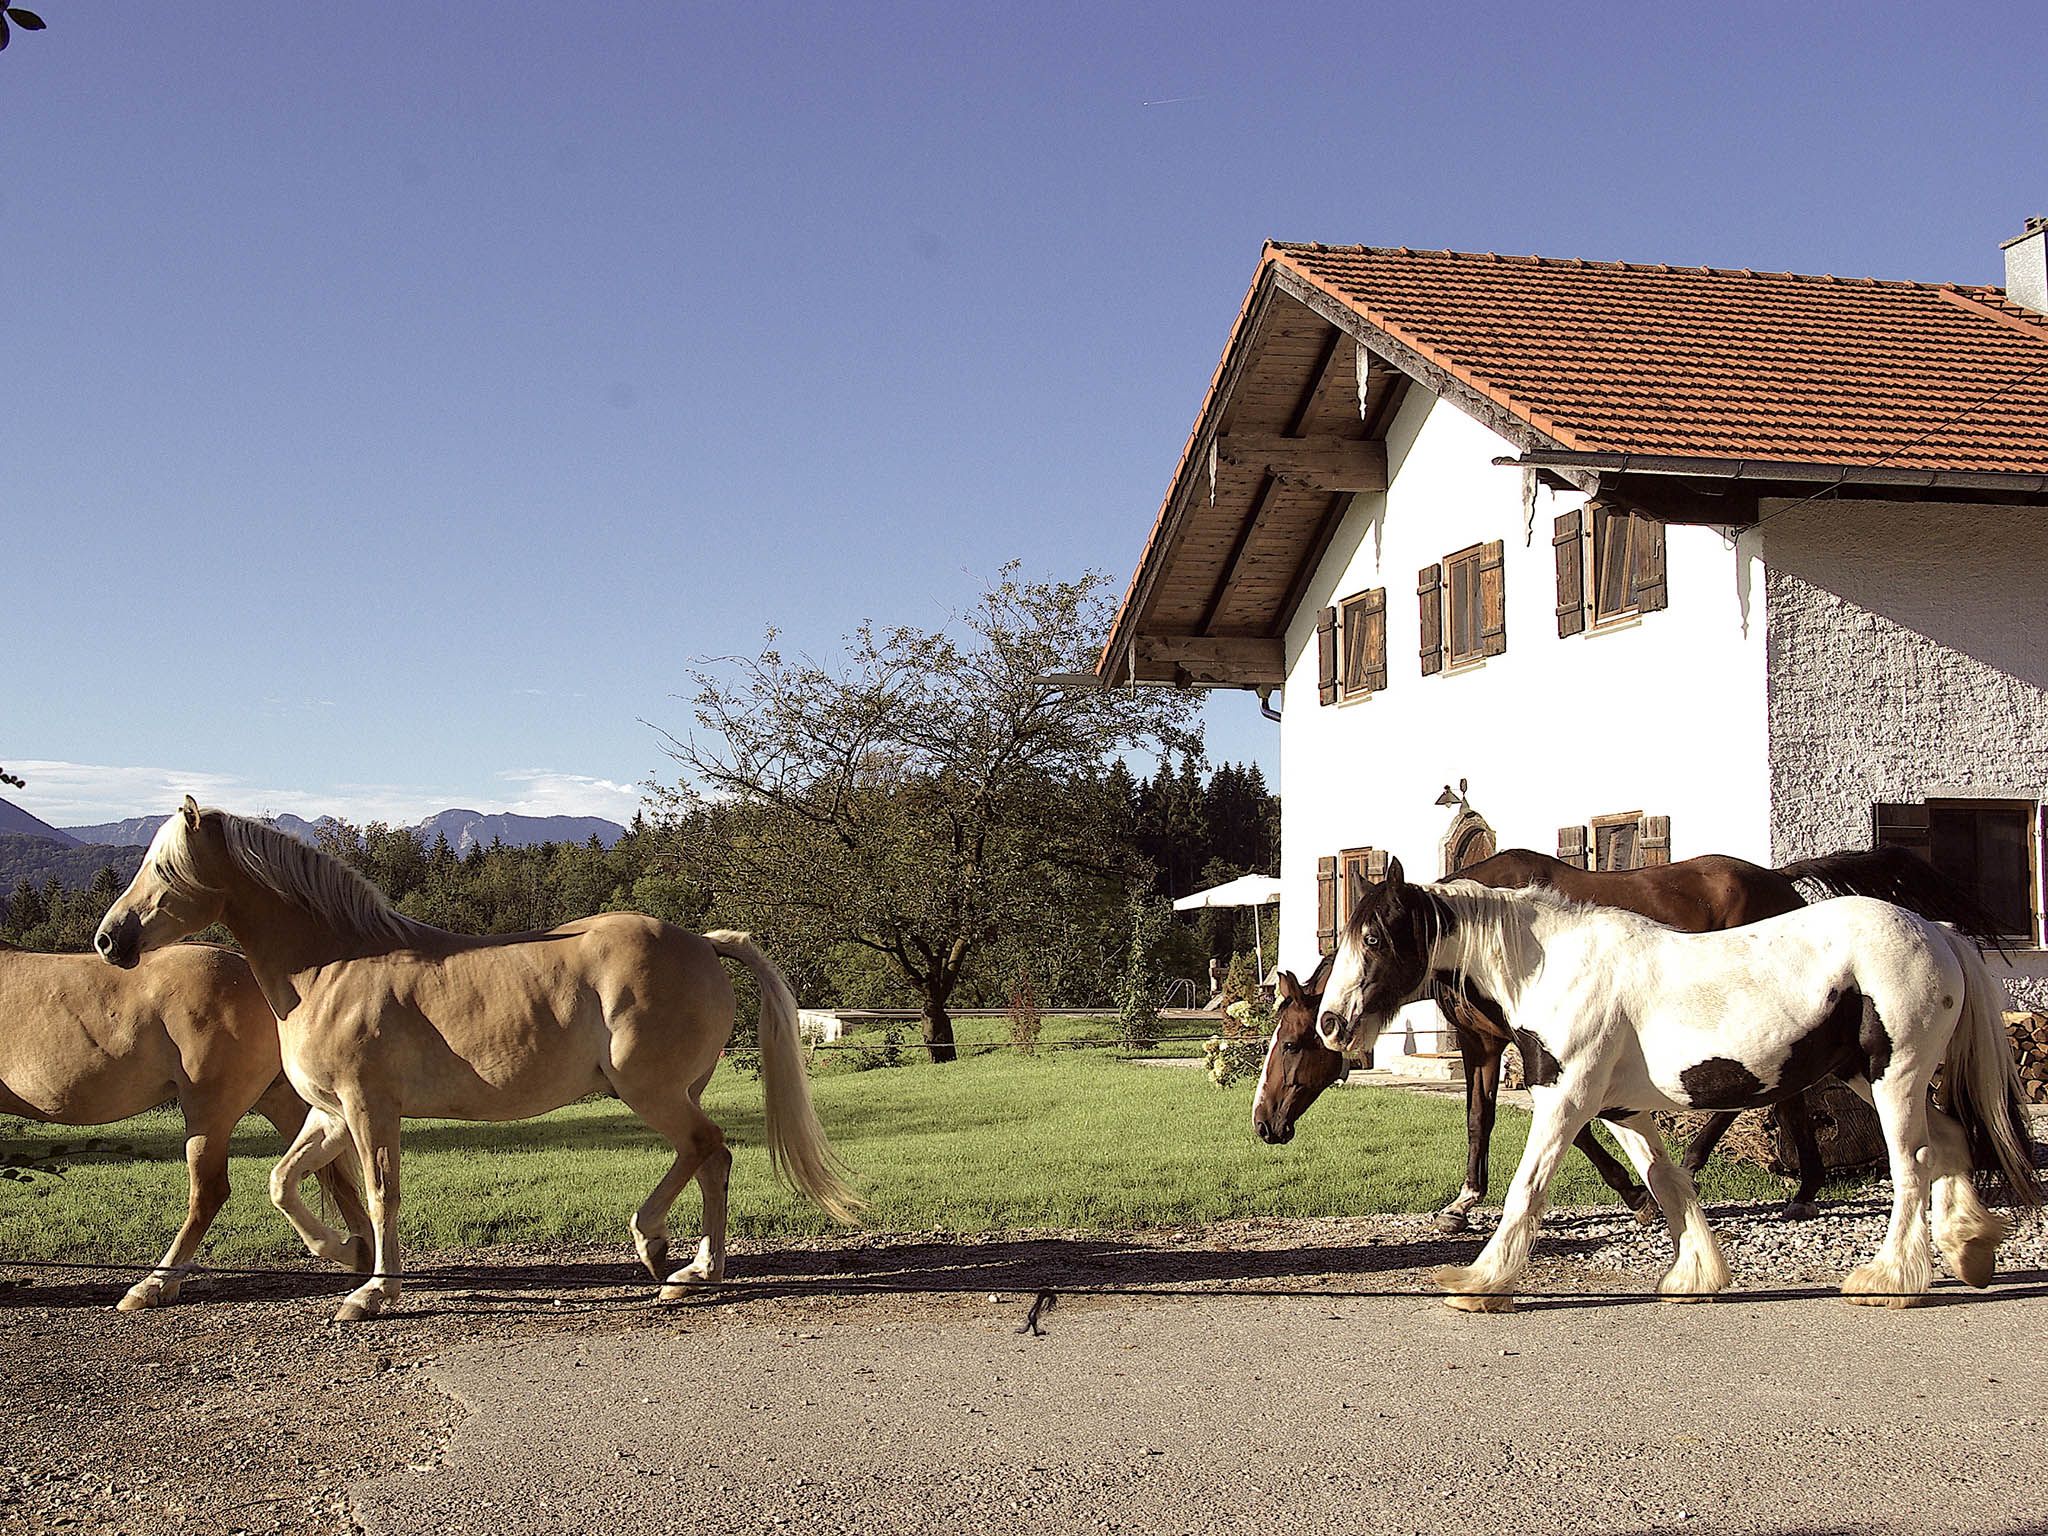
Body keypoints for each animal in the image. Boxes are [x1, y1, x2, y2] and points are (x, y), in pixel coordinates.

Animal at [1, 939, 372, 1310]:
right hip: (278, 1099)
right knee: (330, 1176)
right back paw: (361, 1259)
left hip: (209, 1111)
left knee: (209, 1193)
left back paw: (152, 1285)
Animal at [94, 798, 861, 1322]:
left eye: (163, 868)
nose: (109, 940)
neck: (330, 965)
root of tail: (703, 941)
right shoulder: (330, 1113)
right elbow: (283, 1182)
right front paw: (339, 1255)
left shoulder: (370, 1108)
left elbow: (381, 1192)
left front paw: (372, 1292)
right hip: (671, 1090)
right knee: (704, 1158)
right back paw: (682, 1259)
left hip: (652, 1090)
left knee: (709, 1149)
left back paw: (677, 1260)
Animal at [1315, 858, 2041, 1310]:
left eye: (1374, 937)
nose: (1330, 1023)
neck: (1553, 968)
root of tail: (1936, 932)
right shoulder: (1621, 1109)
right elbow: (1667, 1183)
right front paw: (1696, 1275)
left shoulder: (1566, 1100)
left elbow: (1529, 1187)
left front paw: (1480, 1282)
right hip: (1865, 1074)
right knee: (1948, 1142)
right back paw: (1970, 1249)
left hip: (1896, 1075)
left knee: (1912, 1163)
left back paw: (1890, 1278)